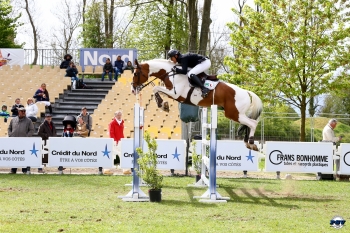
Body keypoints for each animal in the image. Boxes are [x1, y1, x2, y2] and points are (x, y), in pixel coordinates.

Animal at [131, 57, 262, 150]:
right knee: (249, 124)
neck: (170, 73)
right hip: (236, 114)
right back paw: (247, 143)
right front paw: (163, 104)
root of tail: (247, 92)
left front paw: (163, 105)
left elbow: (155, 88)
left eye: (136, 74)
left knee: (253, 123)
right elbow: (156, 89)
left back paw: (251, 143)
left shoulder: (175, 94)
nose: (133, 89)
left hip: (234, 114)